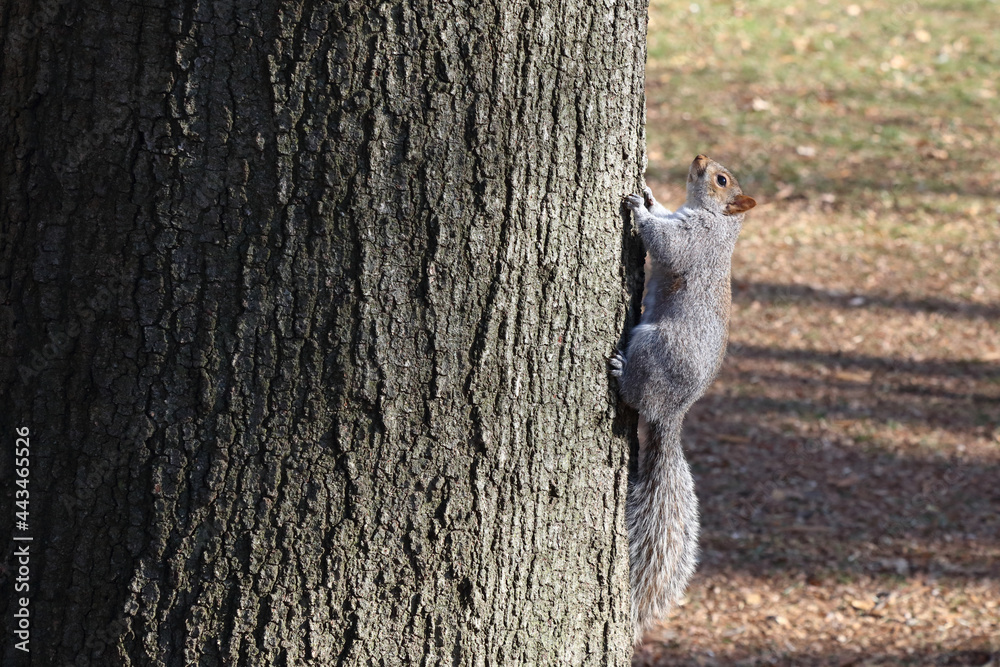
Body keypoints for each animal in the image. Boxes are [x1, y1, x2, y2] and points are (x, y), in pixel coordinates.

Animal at [611, 154, 756, 643]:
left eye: (721, 179)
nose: (699, 158)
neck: (716, 220)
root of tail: (671, 413)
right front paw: (651, 195)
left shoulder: (695, 242)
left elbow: (667, 243)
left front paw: (639, 208)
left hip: (654, 346)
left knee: (635, 394)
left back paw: (620, 373)